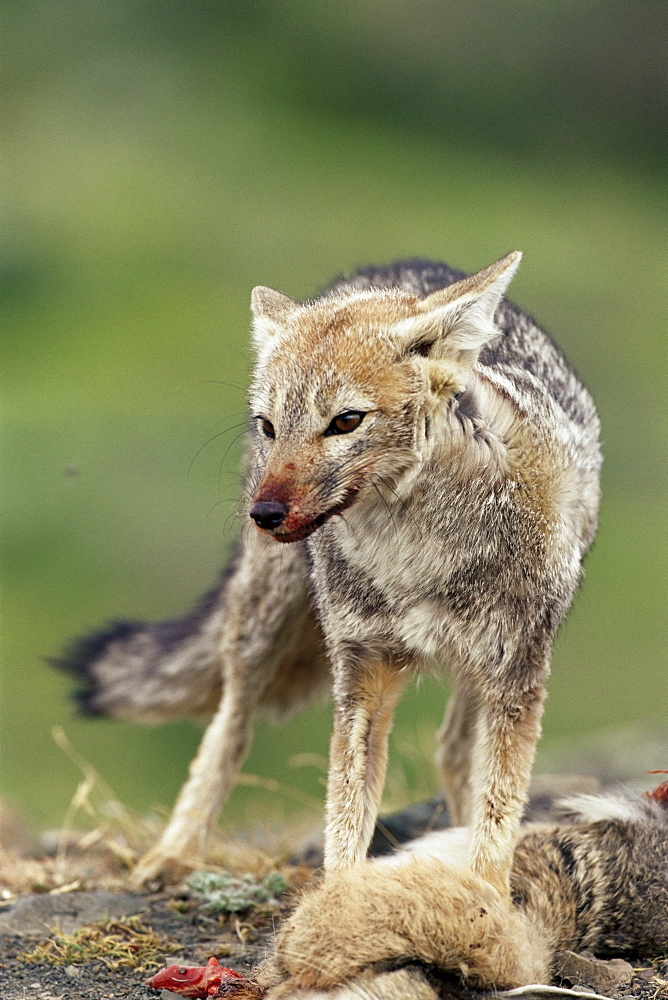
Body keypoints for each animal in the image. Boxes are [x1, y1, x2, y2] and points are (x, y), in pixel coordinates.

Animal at [56, 254, 600, 888]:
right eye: (270, 426)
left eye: (346, 421)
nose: (264, 514)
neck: (415, 554)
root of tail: (405, 265)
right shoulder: (363, 673)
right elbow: (344, 820)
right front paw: (337, 902)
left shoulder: (515, 679)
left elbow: (497, 816)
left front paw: (484, 892)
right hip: (260, 624)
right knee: (228, 726)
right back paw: (175, 852)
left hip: (483, 670)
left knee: (453, 749)